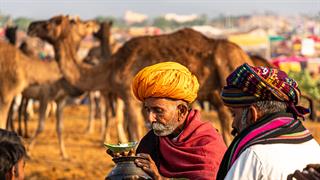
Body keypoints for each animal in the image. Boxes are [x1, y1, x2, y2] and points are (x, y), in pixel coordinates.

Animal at [28, 15, 258, 145]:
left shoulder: (130, 98)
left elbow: (136, 132)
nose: (31, 26)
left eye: (55, 21)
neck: (111, 67)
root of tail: (244, 54)